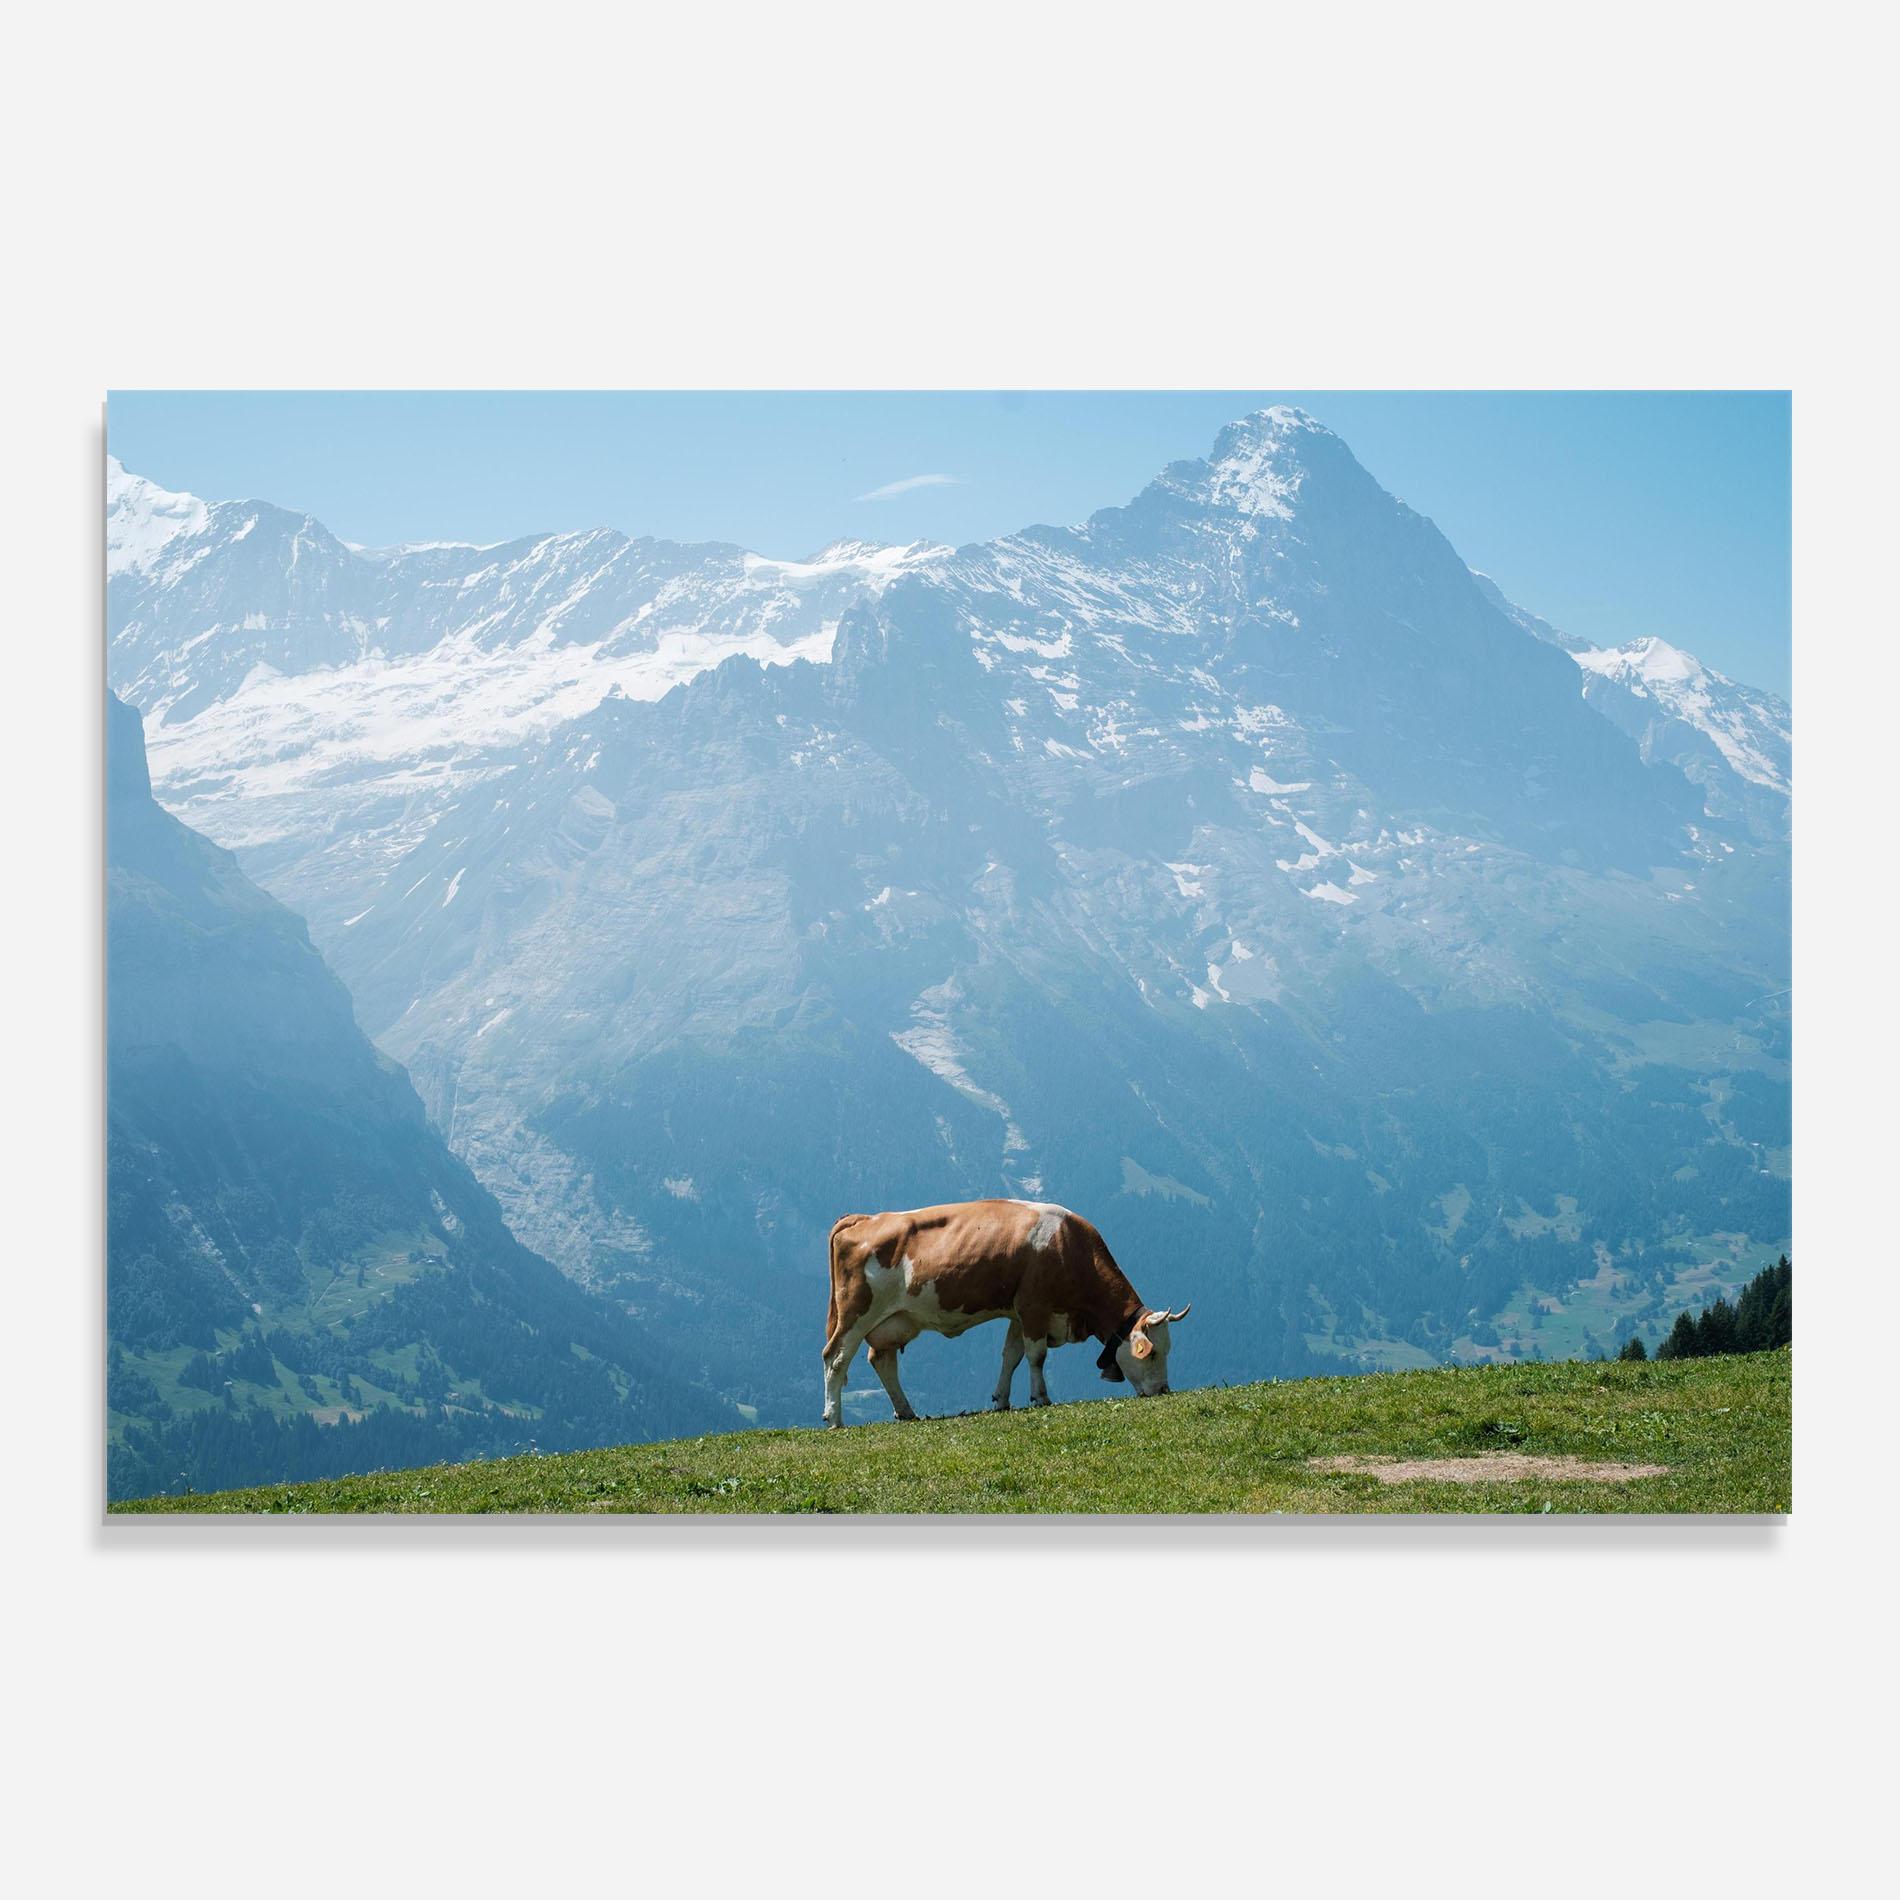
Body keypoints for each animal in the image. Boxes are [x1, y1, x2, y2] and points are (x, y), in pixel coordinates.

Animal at [821, 1198, 1190, 1426]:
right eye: (1152, 1353)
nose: (1163, 1390)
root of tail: (864, 1218)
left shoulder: (1017, 1312)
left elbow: (1011, 1356)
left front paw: (1001, 1400)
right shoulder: (1034, 1307)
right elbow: (1036, 1357)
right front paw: (1040, 1397)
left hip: (894, 1320)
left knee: (881, 1361)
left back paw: (906, 1411)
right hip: (856, 1313)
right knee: (835, 1357)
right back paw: (834, 1417)